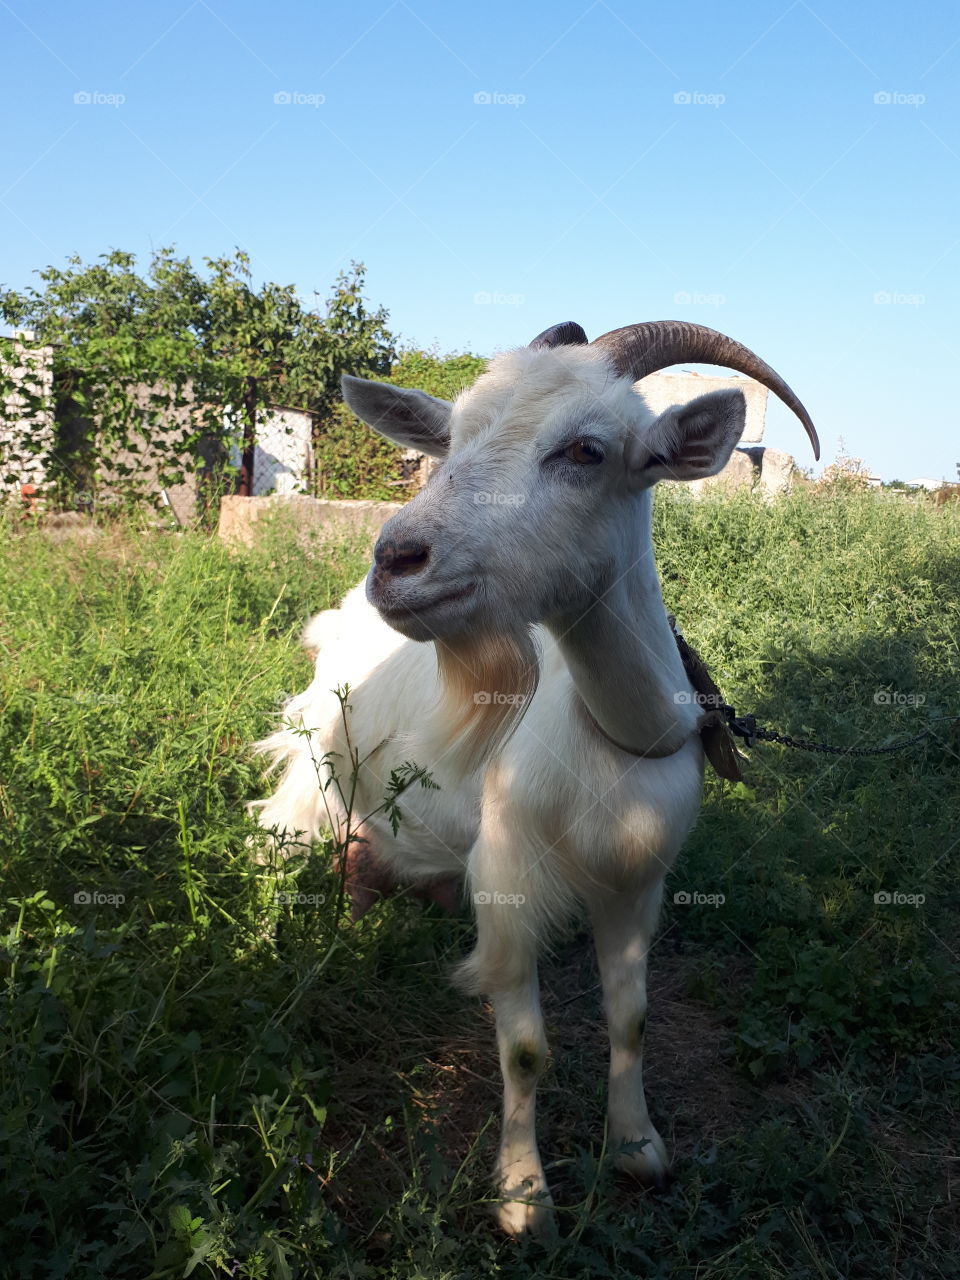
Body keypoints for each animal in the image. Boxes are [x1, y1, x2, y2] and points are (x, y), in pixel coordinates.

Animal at [249, 322, 819, 1239]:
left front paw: (637, 1148)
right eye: (450, 441)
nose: (397, 560)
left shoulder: (637, 882)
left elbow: (632, 1018)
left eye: (587, 451)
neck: (616, 733)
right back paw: (260, 954)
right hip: (313, 773)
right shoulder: (509, 878)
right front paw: (522, 1199)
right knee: (271, 850)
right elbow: (524, 1049)